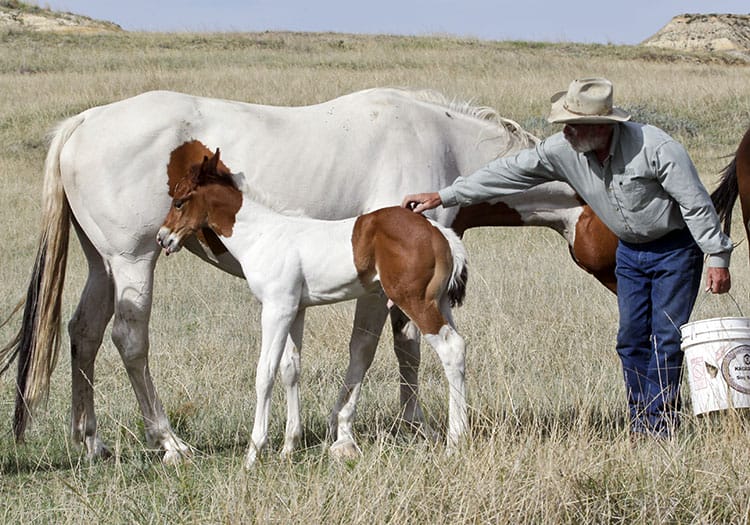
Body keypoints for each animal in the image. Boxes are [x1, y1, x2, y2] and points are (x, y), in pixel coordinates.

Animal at [159, 148, 470, 466]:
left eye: (179, 201)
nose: (163, 238)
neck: (262, 236)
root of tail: (440, 234)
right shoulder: (295, 309)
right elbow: (290, 368)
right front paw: (288, 447)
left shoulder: (276, 308)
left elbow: (265, 372)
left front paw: (253, 454)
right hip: (439, 302)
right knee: (457, 346)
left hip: (414, 300)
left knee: (451, 348)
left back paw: (455, 441)